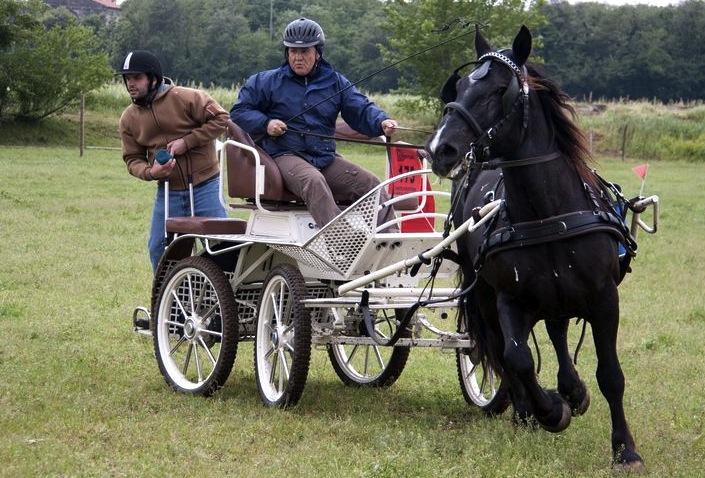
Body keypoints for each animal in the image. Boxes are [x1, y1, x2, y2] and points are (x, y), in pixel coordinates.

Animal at [424, 25, 644, 470]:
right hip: (487, 295)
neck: (548, 213)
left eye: (500, 89)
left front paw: (624, 448)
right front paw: (549, 410)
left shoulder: (604, 299)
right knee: (505, 347)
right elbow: (517, 358)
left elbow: (610, 375)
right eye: (460, 85)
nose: (440, 149)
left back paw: (571, 389)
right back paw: (530, 409)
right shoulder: (509, 298)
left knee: (557, 330)